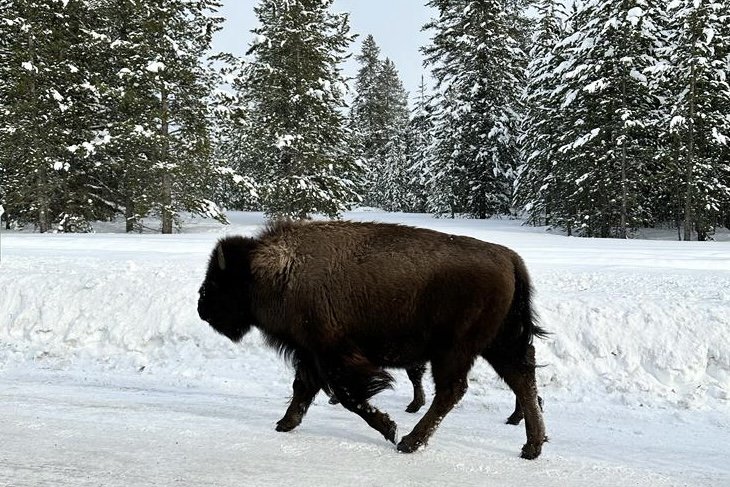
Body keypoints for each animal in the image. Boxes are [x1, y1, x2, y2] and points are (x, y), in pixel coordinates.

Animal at [196, 219, 544, 460]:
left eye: (217, 282)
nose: (201, 307)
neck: (276, 269)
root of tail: (510, 259)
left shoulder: (333, 354)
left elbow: (350, 396)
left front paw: (388, 428)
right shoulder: (310, 353)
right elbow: (303, 388)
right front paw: (285, 423)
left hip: (455, 350)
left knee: (453, 390)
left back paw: (409, 442)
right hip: (498, 344)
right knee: (522, 379)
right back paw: (532, 447)